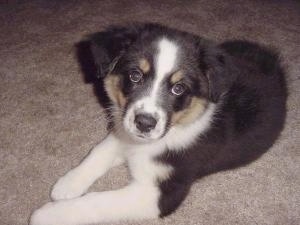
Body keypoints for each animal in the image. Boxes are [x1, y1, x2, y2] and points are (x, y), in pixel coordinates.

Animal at [29, 22, 286, 225]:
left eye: (178, 88)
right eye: (135, 76)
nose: (145, 123)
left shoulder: (161, 193)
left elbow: (97, 201)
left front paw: (48, 214)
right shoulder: (124, 129)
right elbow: (99, 150)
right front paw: (67, 184)